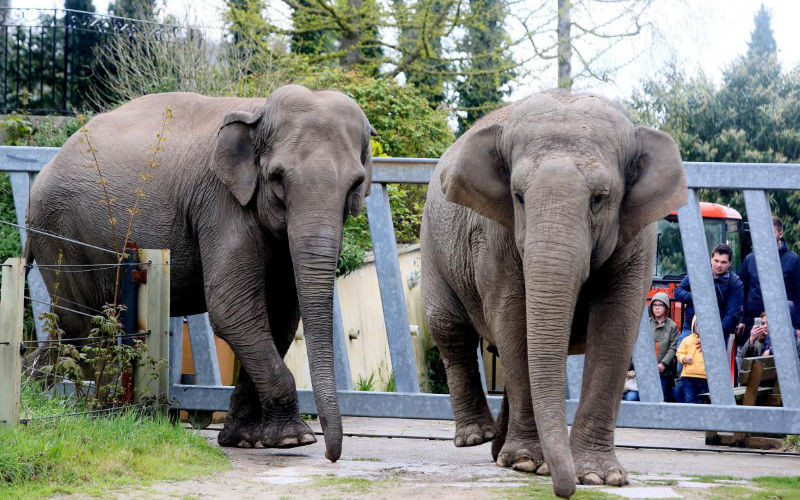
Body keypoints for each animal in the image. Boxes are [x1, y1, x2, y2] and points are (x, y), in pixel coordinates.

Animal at [26, 84, 377, 462]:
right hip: (63, 235)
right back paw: (97, 412)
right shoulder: (220, 203)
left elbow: (281, 314)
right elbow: (232, 308)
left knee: (68, 329)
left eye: (356, 184)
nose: (332, 455)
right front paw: (294, 439)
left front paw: (247, 440)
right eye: (278, 180)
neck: (258, 111)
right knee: (83, 326)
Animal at [420, 90, 687, 497]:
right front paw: (528, 464)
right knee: (451, 330)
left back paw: (499, 450)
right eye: (518, 196)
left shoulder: (638, 238)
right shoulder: (495, 233)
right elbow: (514, 322)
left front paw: (600, 477)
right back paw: (478, 438)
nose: (565, 488)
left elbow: (616, 327)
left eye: (598, 198)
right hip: (433, 246)